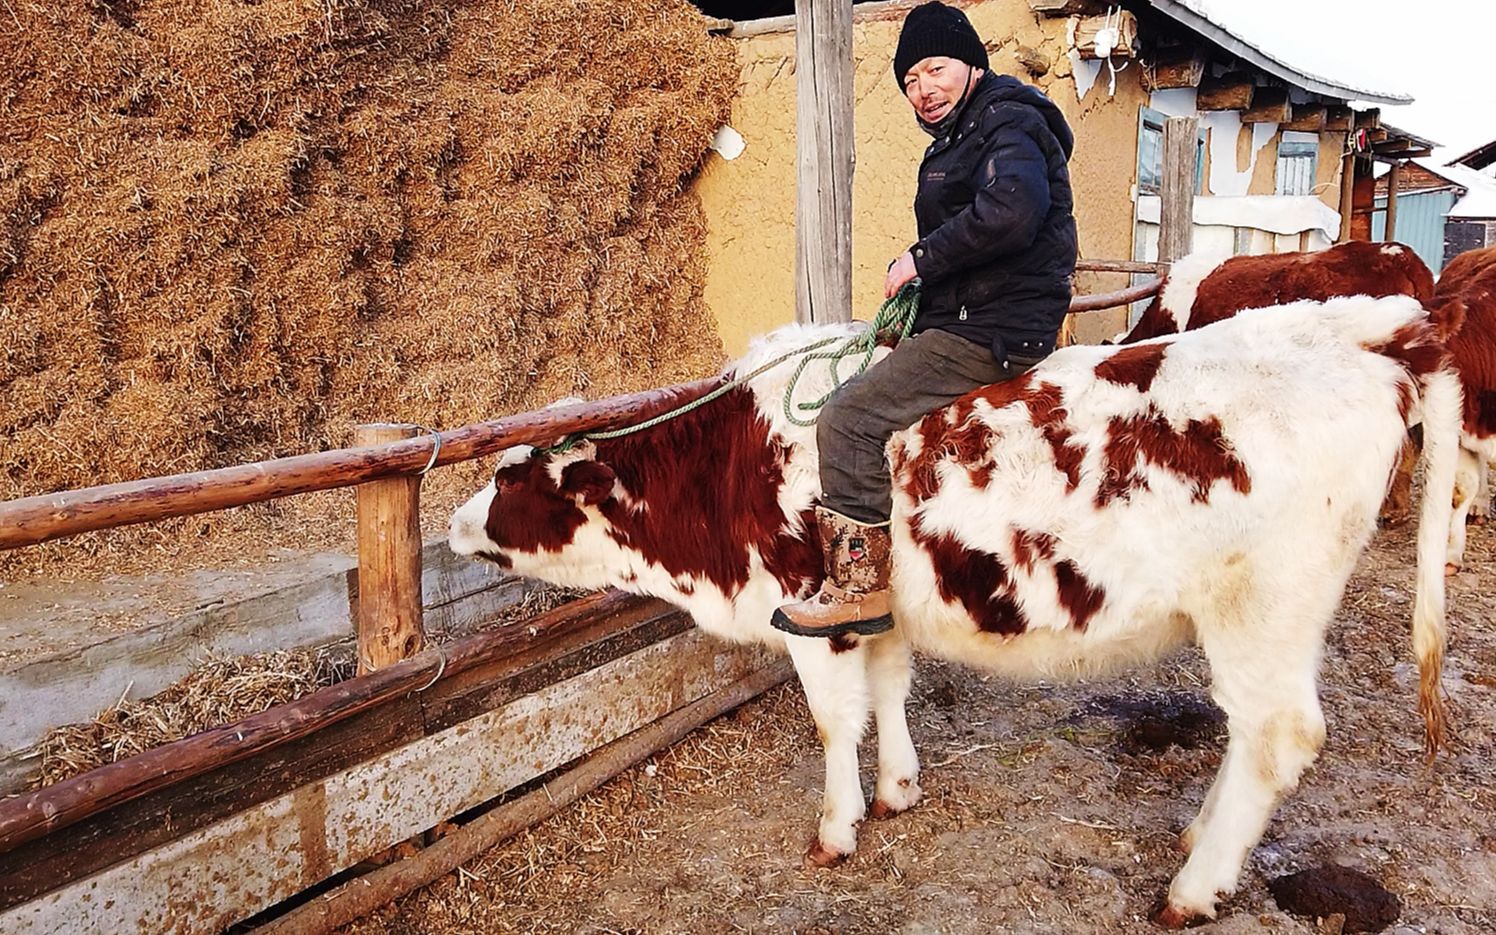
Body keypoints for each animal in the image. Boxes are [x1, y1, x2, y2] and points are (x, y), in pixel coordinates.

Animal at [448, 294, 1454, 921]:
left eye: (511, 478)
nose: (456, 523)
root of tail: (1370, 331)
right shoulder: (879, 604)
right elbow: (891, 689)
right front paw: (898, 790)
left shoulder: (805, 613)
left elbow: (834, 721)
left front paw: (837, 829)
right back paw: (1200, 837)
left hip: (1261, 615)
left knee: (1277, 738)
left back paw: (1193, 886)